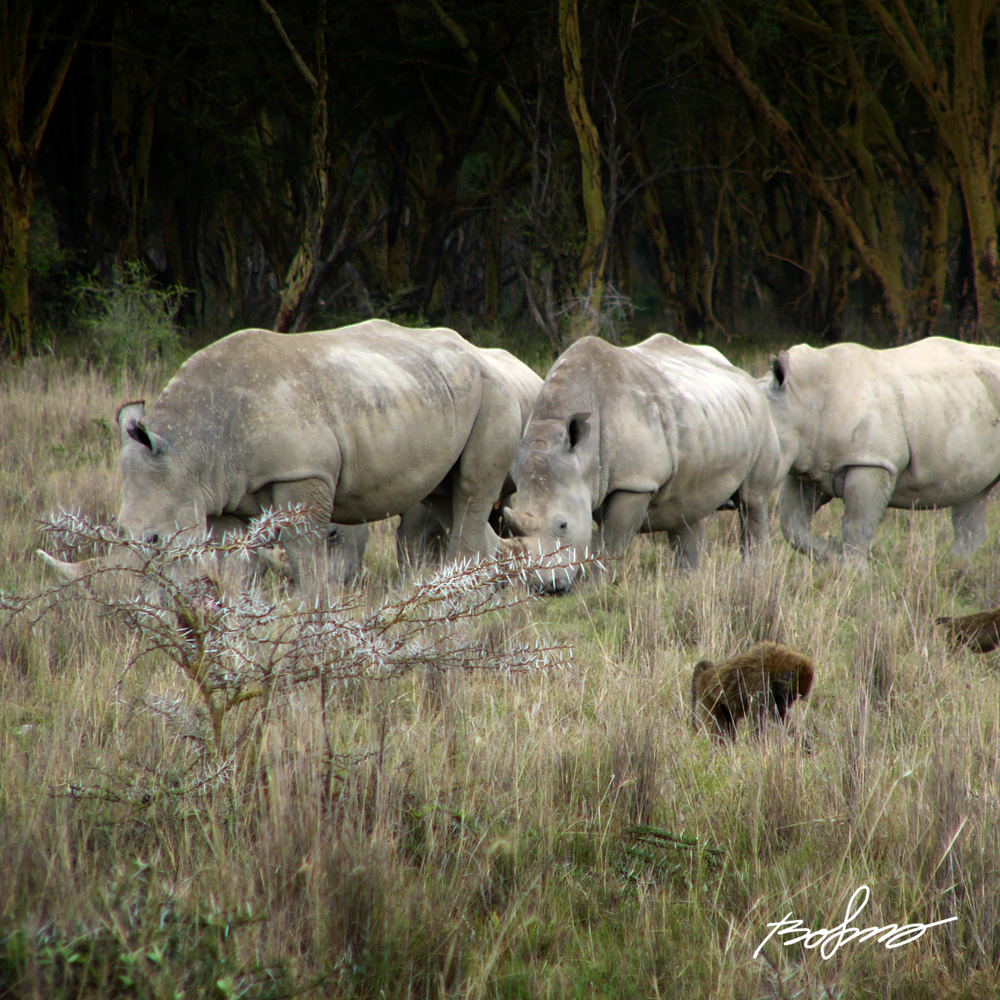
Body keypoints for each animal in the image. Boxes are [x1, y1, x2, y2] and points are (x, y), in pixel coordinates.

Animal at [39, 320, 528, 584]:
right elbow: (235, 564)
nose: (133, 606)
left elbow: (307, 558)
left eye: (155, 539)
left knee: (470, 493)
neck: (191, 445)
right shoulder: (222, 492)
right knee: (446, 497)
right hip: (436, 387)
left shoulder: (301, 472)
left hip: (494, 393)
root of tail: (479, 350)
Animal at [504, 336, 776, 588]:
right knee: (686, 507)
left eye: (563, 525)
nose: (545, 587)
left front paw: (592, 588)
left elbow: (610, 541)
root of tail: (741, 372)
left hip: (761, 415)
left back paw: (753, 574)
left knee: (752, 500)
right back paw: (685, 583)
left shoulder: (635, 482)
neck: (582, 456)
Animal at [760, 340, 1000, 564]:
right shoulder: (809, 463)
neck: (800, 399)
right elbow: (791, 525)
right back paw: (955, 566)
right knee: (973, 493)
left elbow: (856, 525)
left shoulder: (871, 461)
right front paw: (835, 553)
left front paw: (853, 569)